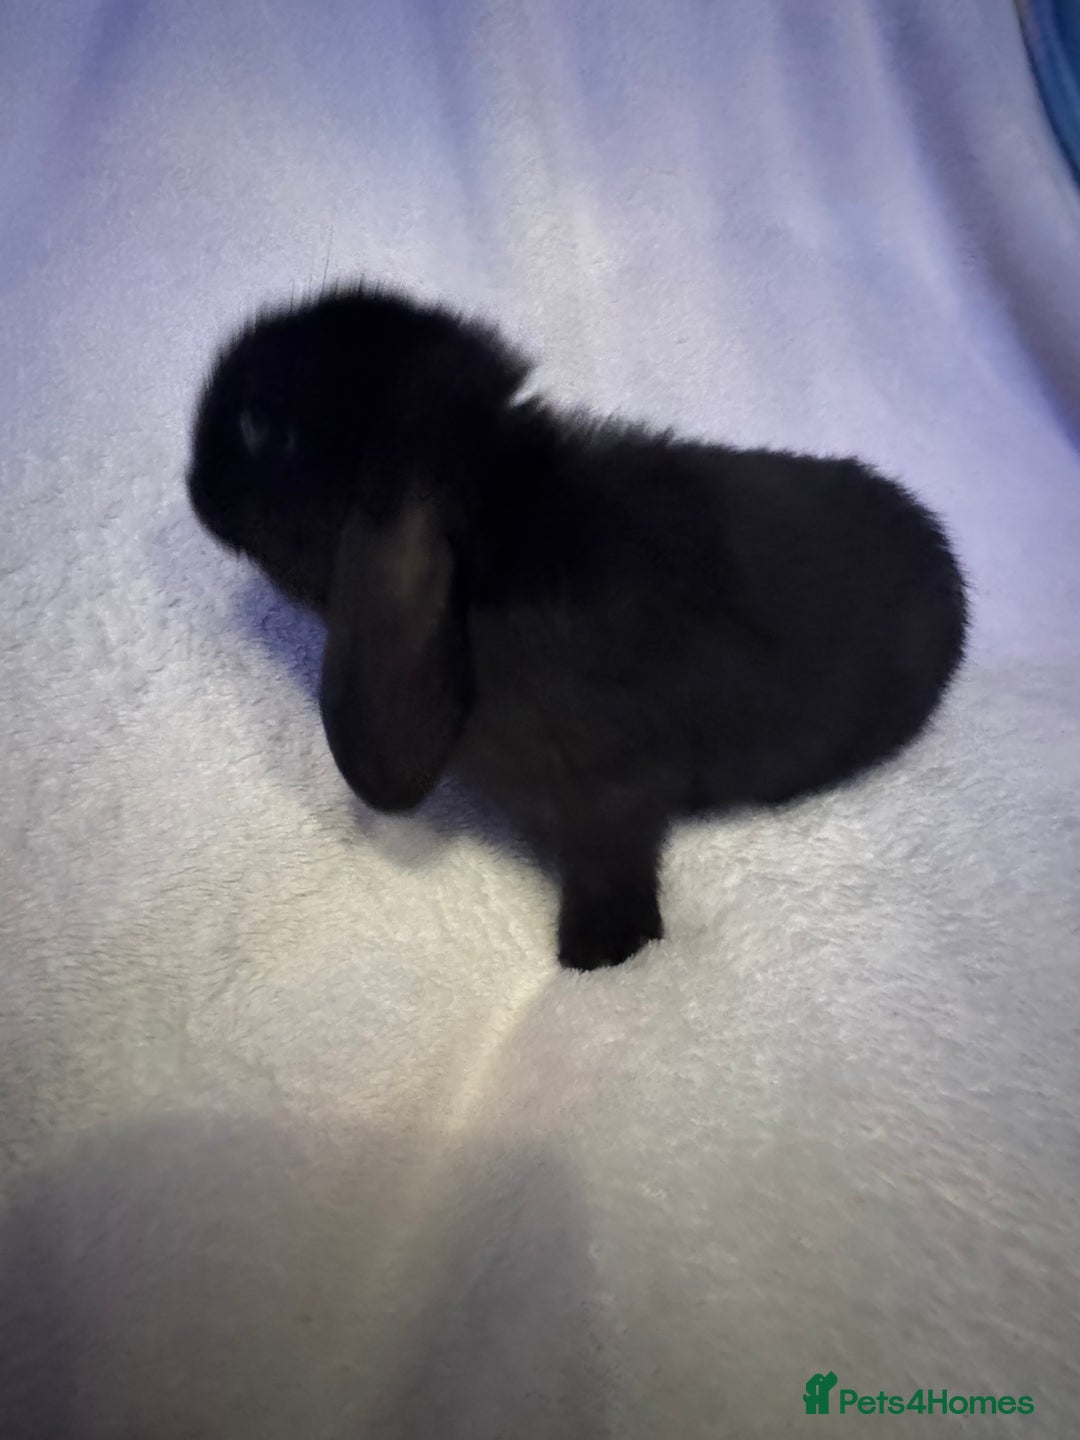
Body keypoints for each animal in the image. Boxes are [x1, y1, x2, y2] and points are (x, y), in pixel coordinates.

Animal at [186, 282, 968, 971]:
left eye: (262, 431)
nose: (193, 483)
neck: (494, 524)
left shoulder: (613, 796)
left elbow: (611, 862)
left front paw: (598, 957)